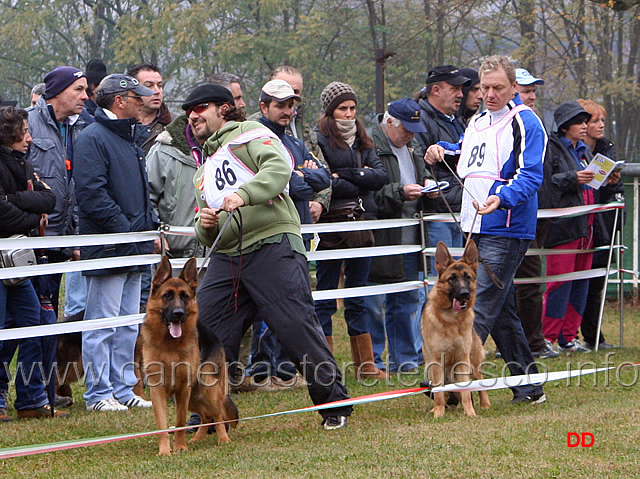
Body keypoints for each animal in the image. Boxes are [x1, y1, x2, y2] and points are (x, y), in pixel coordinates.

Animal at [142, 256, 238, 456]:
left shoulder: (183, 389)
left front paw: (179, 446)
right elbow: (162, 424)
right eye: (167, 296)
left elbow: (179, 421)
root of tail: (215, 337)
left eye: (185, 296)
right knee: (206, 415)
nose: (178, 314)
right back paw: (198, 438)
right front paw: (165, 451)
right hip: (195, 396)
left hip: (207, 388)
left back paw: (223, 439)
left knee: (217, 415)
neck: (169, 345)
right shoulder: (157, 390)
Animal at [420, 242, 490, 418]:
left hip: (473, 364)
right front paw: (438, 413)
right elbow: (438, 393)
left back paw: (485, 405)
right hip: (429, 369)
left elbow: (466, 392)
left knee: (480, 384)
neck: (451, 318)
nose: (464, 294)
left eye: (467, 277)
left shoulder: (462, 361)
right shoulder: (436, 362)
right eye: (451, 279)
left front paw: (470, 413)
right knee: (443, 392)